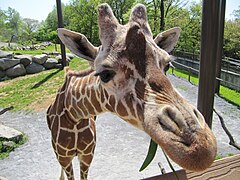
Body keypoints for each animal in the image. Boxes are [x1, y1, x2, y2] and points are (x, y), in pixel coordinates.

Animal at [47, 3, 218, 180]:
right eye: (104, 74)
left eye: (167, 66)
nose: (201, 146)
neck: (75, 115)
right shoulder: (64, 157)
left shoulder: (88, 154)